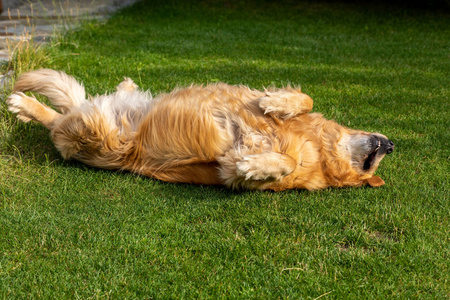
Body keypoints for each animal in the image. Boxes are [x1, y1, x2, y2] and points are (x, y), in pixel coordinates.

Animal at [7, 69, 394, 190]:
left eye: (371, 167)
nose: (391, 145)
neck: (319, 148)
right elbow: (306, 98)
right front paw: (277, 102)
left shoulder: (235, 173)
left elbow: (278, 164)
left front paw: (256, 165)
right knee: (70, 103)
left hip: (94, 129)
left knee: (59, 116)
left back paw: (22, 104)